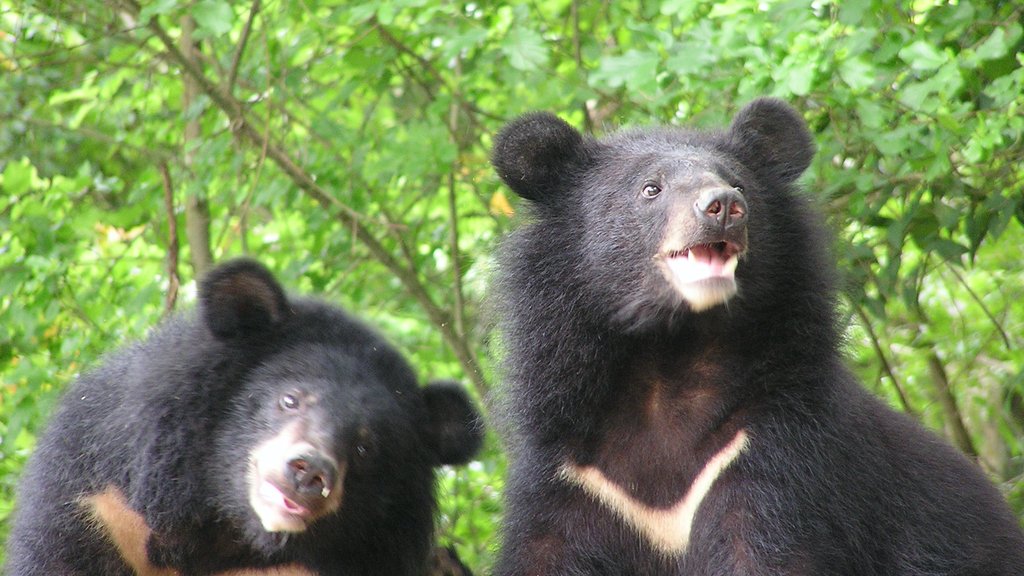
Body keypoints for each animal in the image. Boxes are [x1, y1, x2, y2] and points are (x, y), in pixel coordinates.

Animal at [487, 99, 1024, 573]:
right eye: (650, 188)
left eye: (736, 182)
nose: (723, 206)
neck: (669, 358)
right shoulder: (573, 477)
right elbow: (545, 553)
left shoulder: (774, 459)